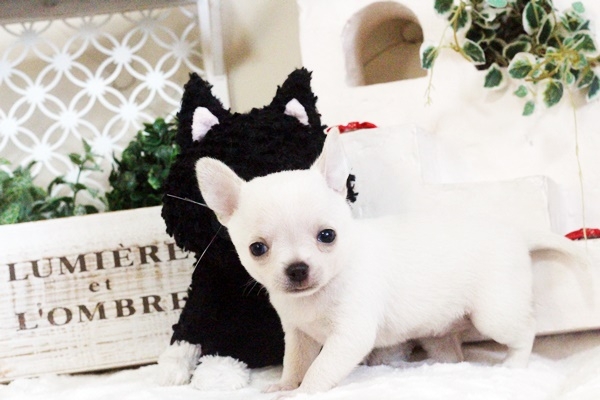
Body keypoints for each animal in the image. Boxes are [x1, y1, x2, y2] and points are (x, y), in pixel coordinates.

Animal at [195, 129, 586, 395]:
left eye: (327, 236)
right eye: (257, 249)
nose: (297, 269)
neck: (318, 295)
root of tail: (517, 235)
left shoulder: (349, 336)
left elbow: (320, 370)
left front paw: (303, 392)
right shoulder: (298, 335)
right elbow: (295, 363)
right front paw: (285, 385)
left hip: (495, 314)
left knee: (525, 331)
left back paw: (514, 364)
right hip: (440, 331)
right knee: (452, 350)